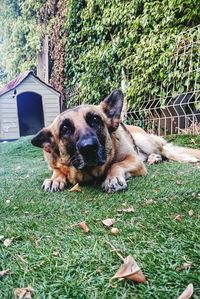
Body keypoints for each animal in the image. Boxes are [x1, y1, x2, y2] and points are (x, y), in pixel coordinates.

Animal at [31, 91, 200, 195]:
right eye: (65, 128)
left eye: (95, 119)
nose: (89, 148)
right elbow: (58, 170)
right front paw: (55, 179)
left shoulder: (134, 160)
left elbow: (116, 164)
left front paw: (113, 178)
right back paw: (153, 158)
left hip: (144, 141)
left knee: (164, 150)